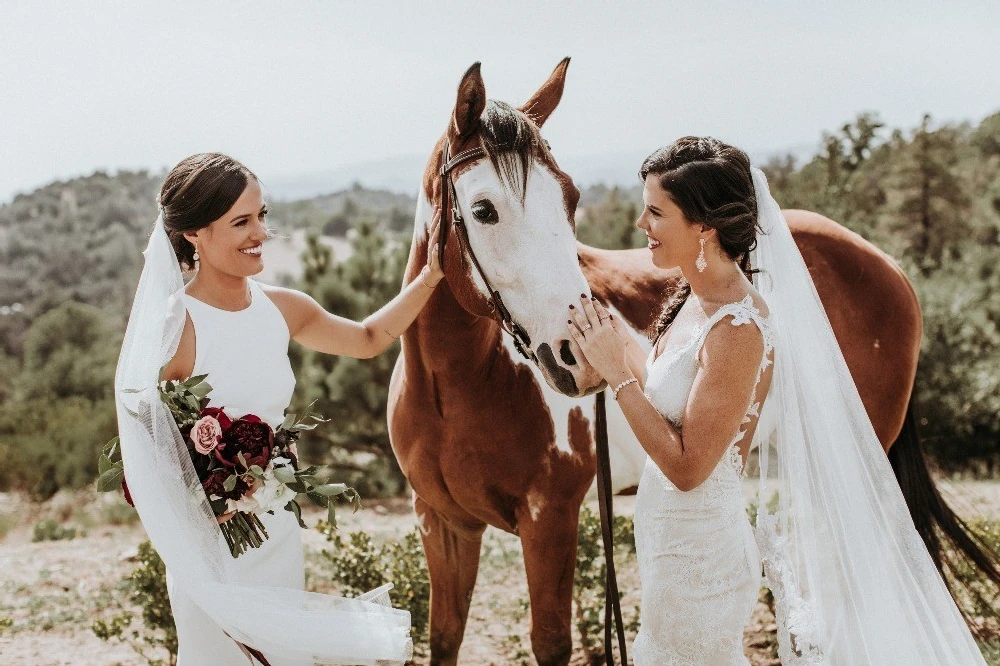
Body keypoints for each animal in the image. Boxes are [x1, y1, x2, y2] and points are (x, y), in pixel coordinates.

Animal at [386, 59, 996, 660]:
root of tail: (893, 270)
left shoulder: (549, 521)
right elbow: (443, 637)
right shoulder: (443, 525)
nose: (576, 357)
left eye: (570, 198)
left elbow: (550, 642)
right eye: (483, 210)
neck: (460, 383)